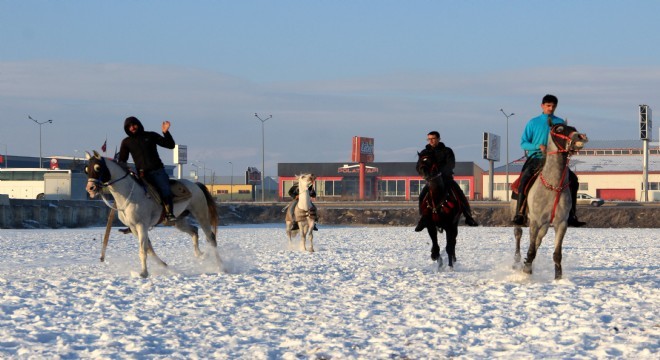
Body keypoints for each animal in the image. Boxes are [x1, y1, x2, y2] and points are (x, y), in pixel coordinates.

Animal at [83, 150, 219, 278]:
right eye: (86, 170)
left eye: (98, 168)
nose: (90, 188)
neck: (130, 194)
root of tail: (195, 185)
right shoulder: (133, 228)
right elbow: (149, 248)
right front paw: (163, 265)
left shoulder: (141, 225)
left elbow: (143, 249)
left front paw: (143, 273)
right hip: (179, 221)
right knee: (194, 230)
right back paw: (200, 255)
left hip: (201, 214)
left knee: (211, 237)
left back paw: (220, 265)